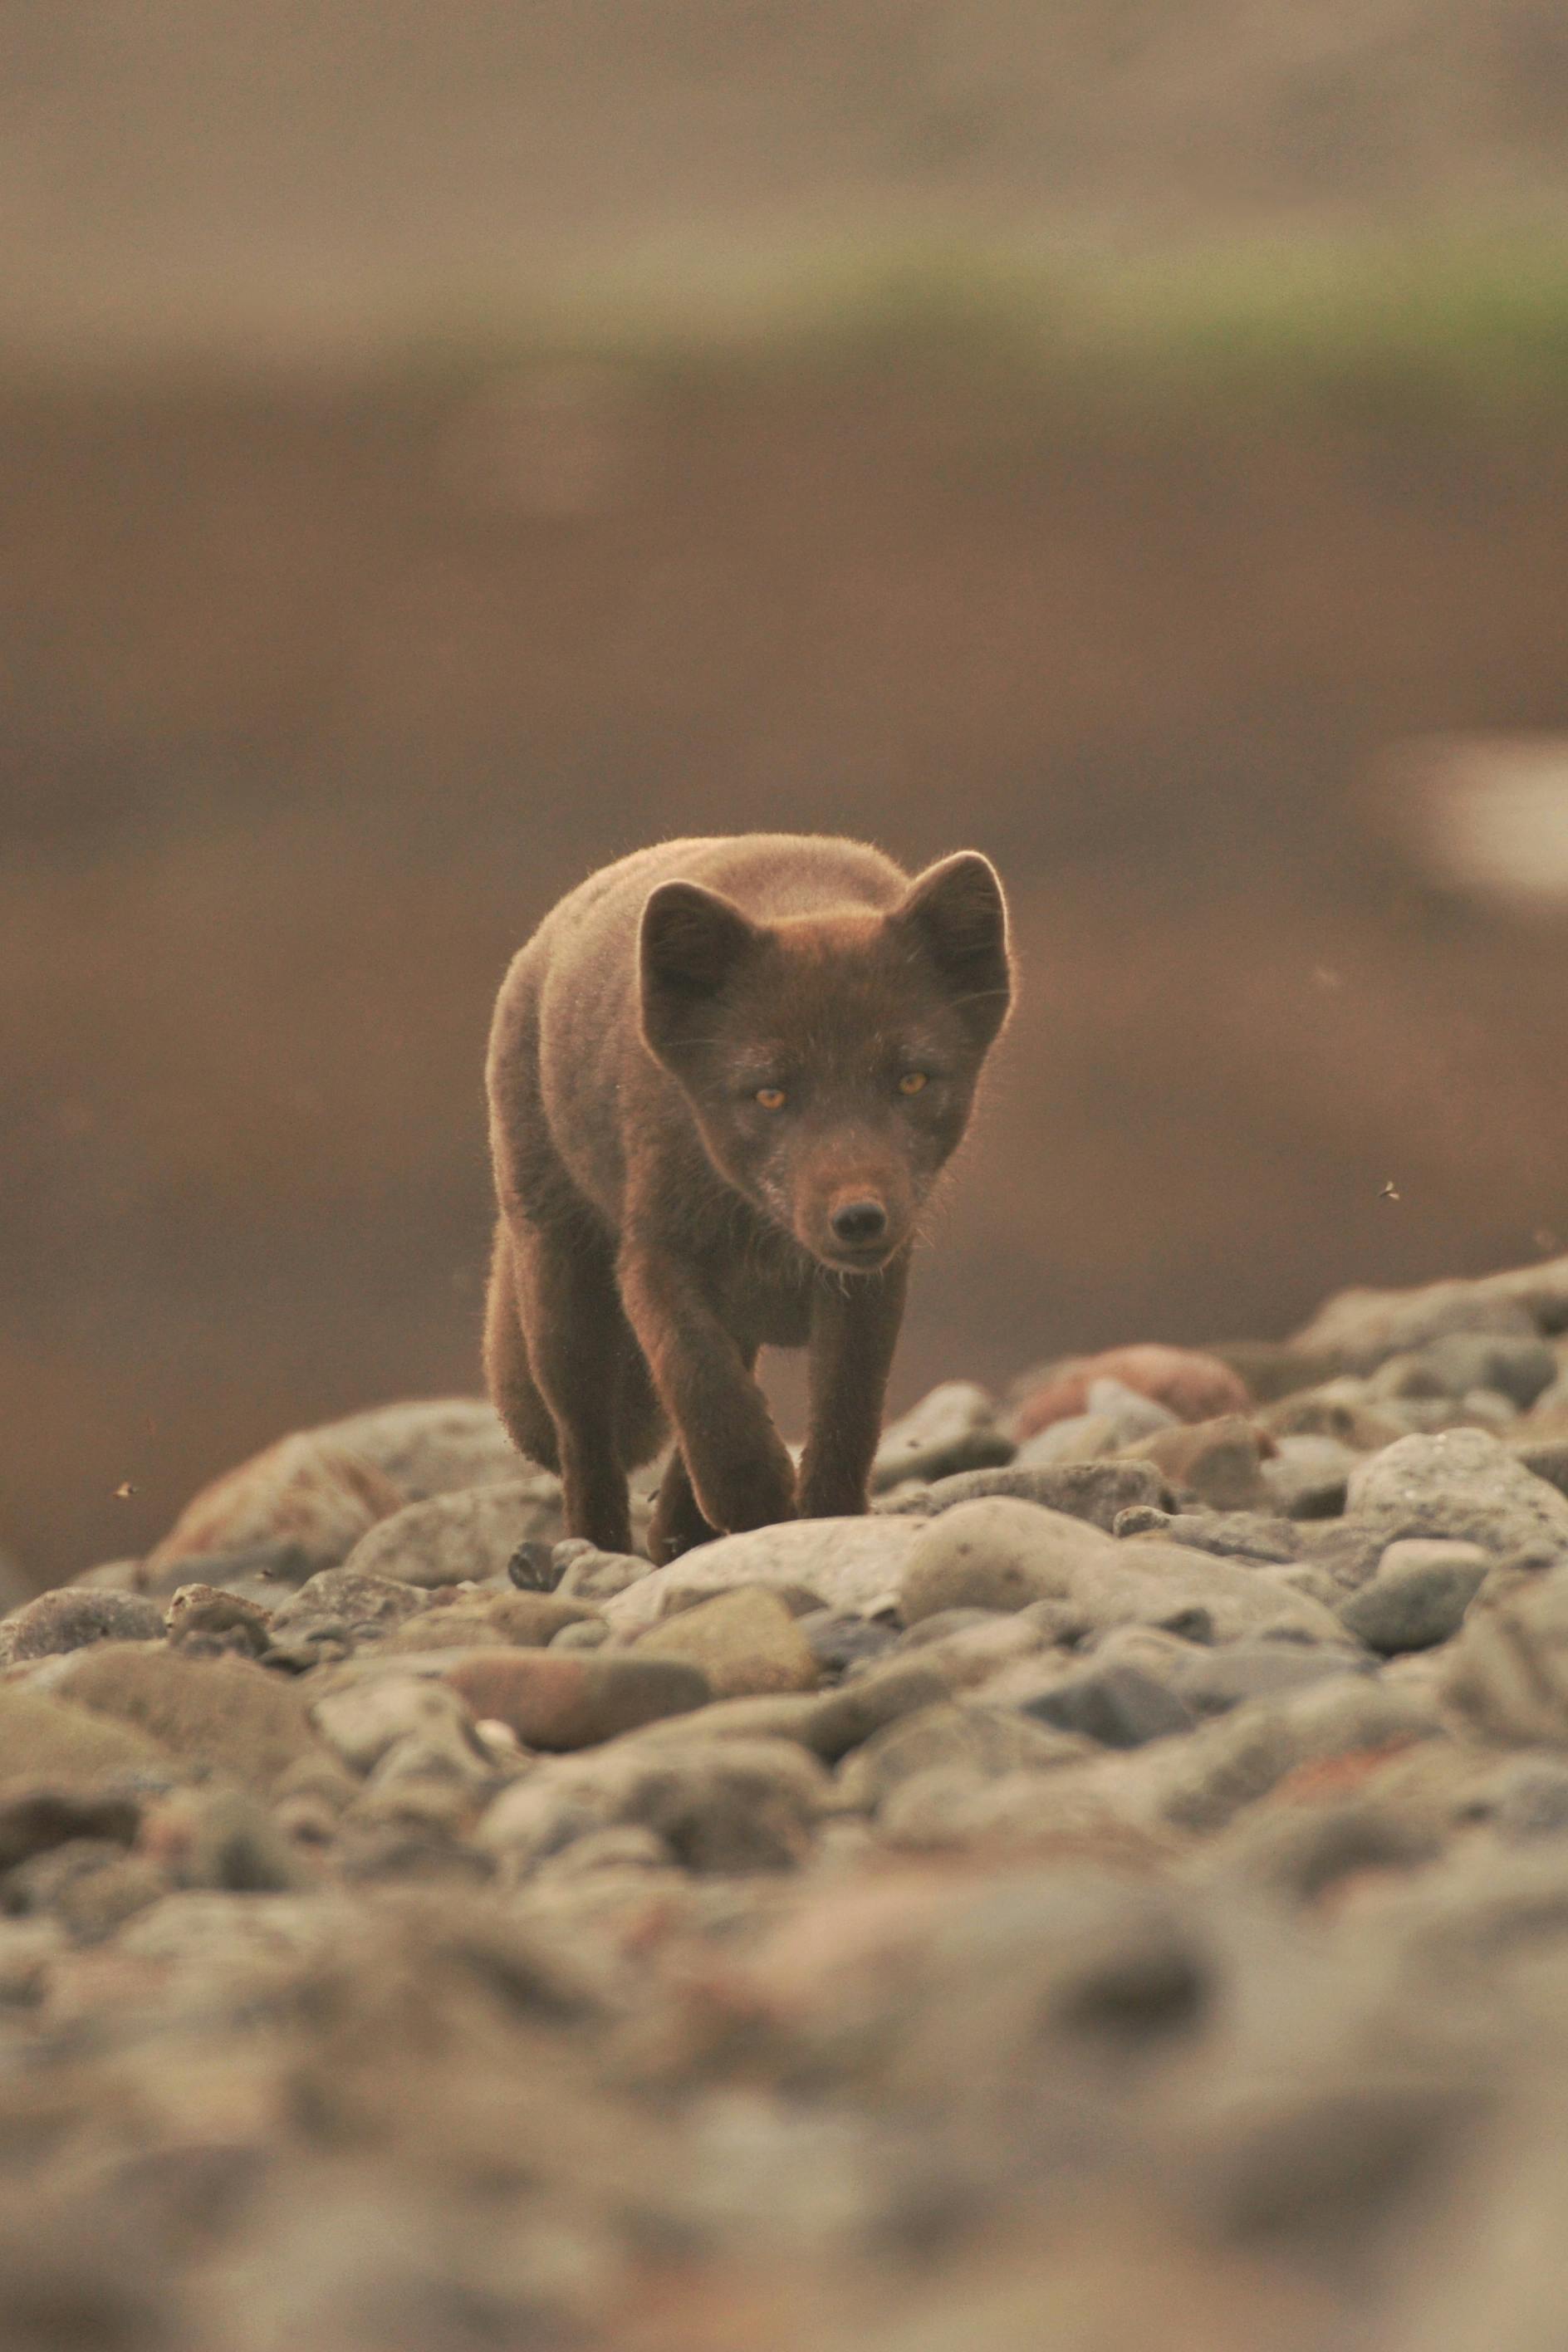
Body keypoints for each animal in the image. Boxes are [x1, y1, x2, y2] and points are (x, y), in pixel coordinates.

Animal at [484, 832, 1011, 1561]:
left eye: (910, 1080)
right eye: (770, 1094)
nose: (859, 1219)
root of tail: (540, 945)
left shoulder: (873, 1283)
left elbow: (847, 1412)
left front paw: (823, 1519)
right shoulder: (654, 1256)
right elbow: (699, 1379)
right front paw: (755, 1497)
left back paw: (680, 1533)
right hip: (562, 1289)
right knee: (584, 1438)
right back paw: (600, 1549)